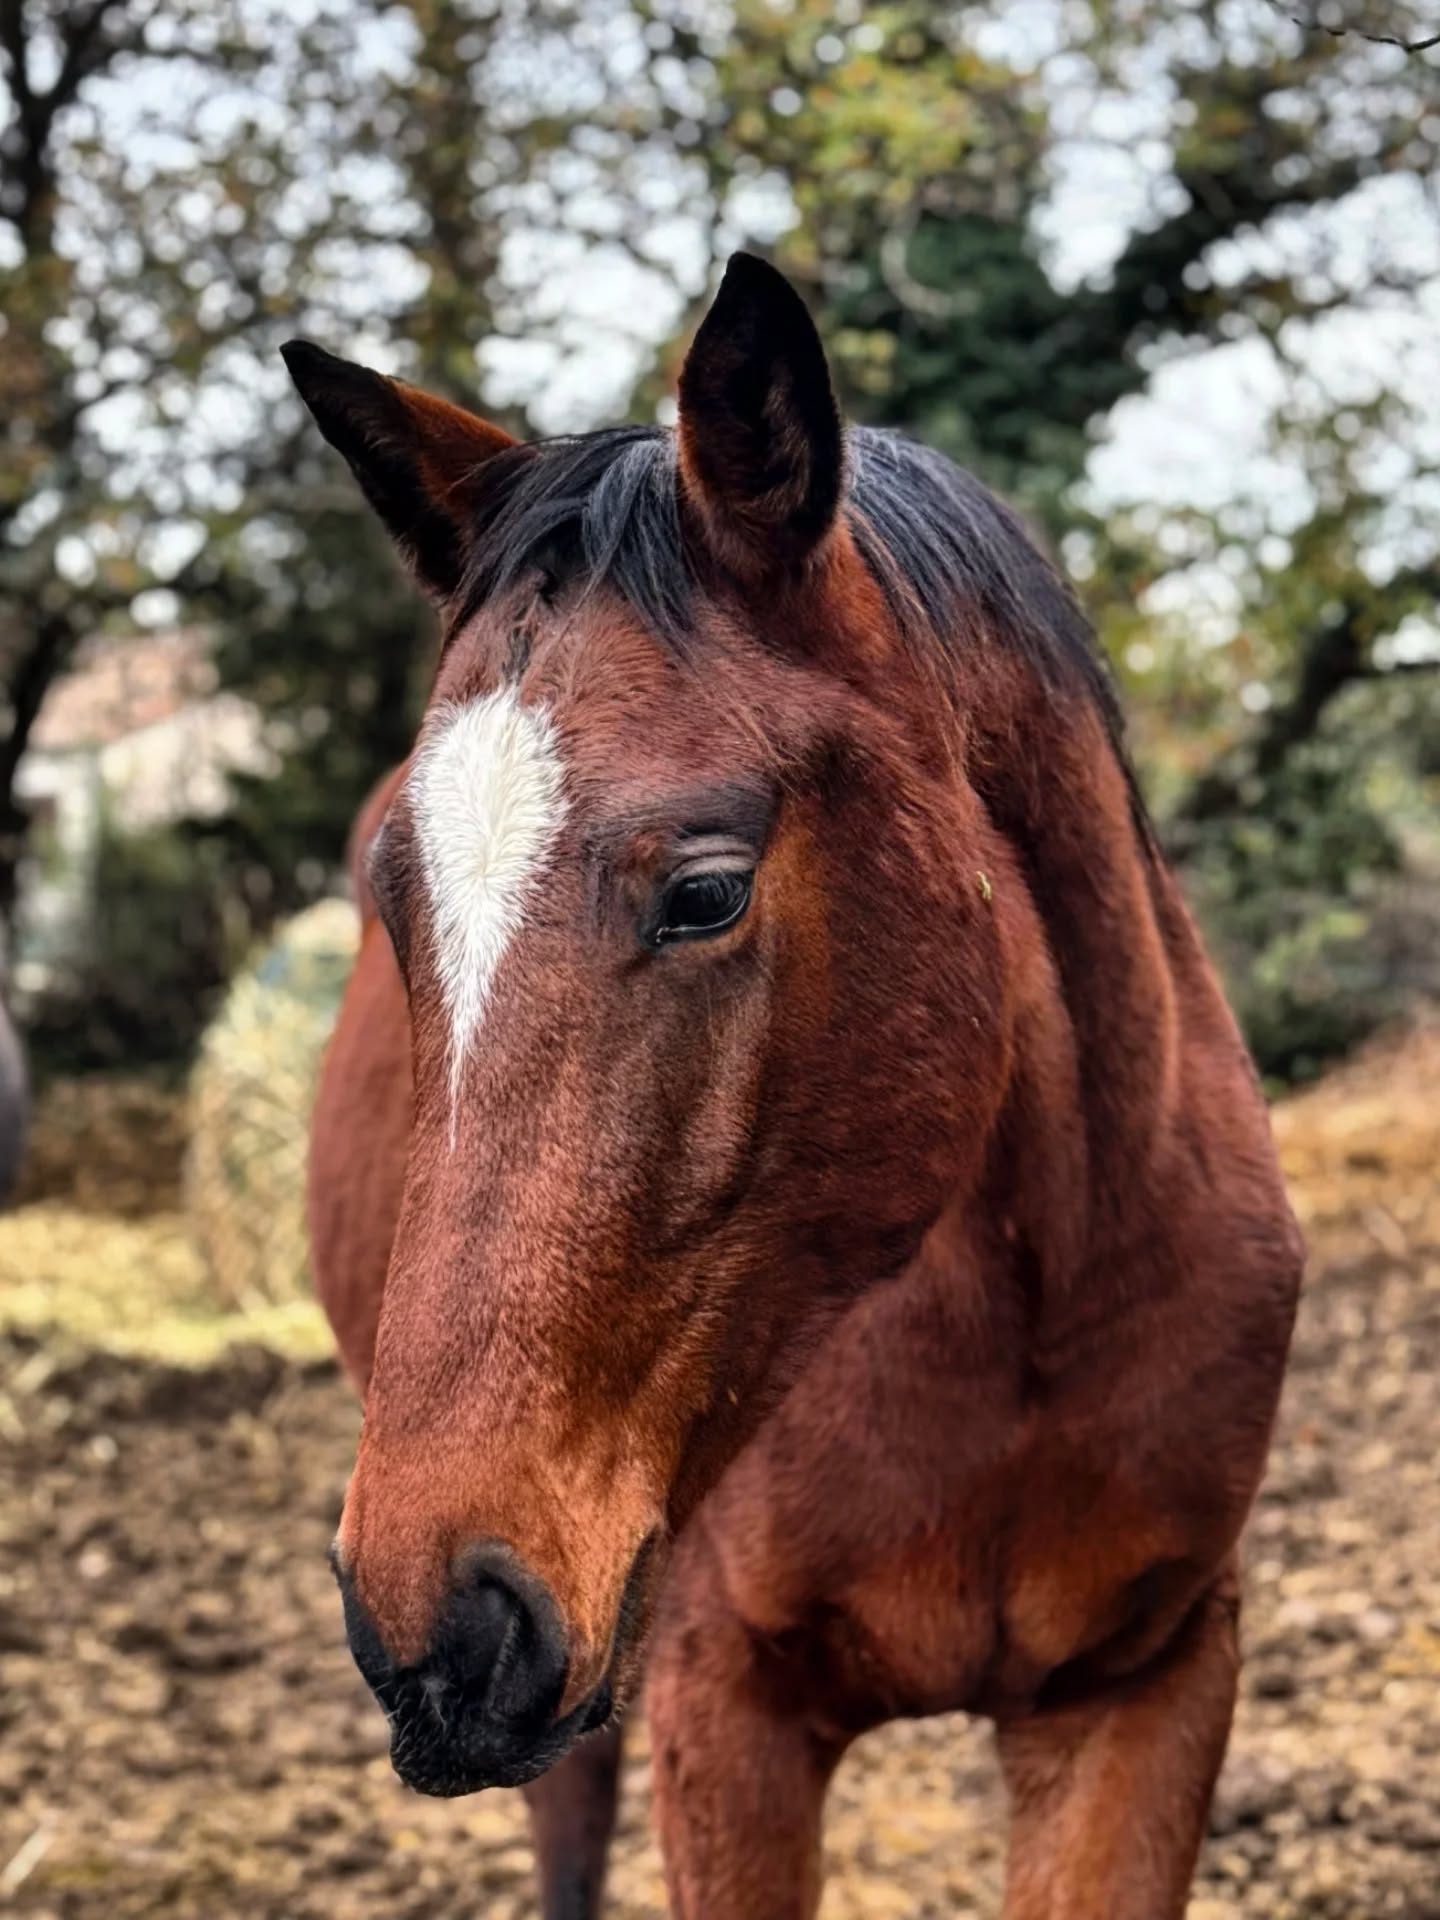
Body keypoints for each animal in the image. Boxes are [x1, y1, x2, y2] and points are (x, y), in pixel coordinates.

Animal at [286, 253, 1302, 1920]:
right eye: (391, 902)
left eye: (704, 893)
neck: (1028, 1313)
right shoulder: (725, 1703)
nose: (432, 1626)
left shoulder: (1147, 1689)